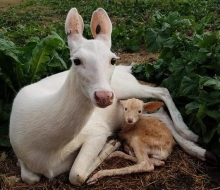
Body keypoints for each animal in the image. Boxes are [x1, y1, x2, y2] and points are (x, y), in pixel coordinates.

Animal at [9, 7, 217, 186]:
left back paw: (191, 135)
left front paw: (111, 145)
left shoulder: (96, 130)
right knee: (157, 112)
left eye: (112, 59)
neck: (45, 148)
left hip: (125, 88)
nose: (104, 96)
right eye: (76, 60)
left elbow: (76, 175)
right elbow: (30, 177)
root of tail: (125, 69)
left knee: (162, 91)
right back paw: (201, 150)